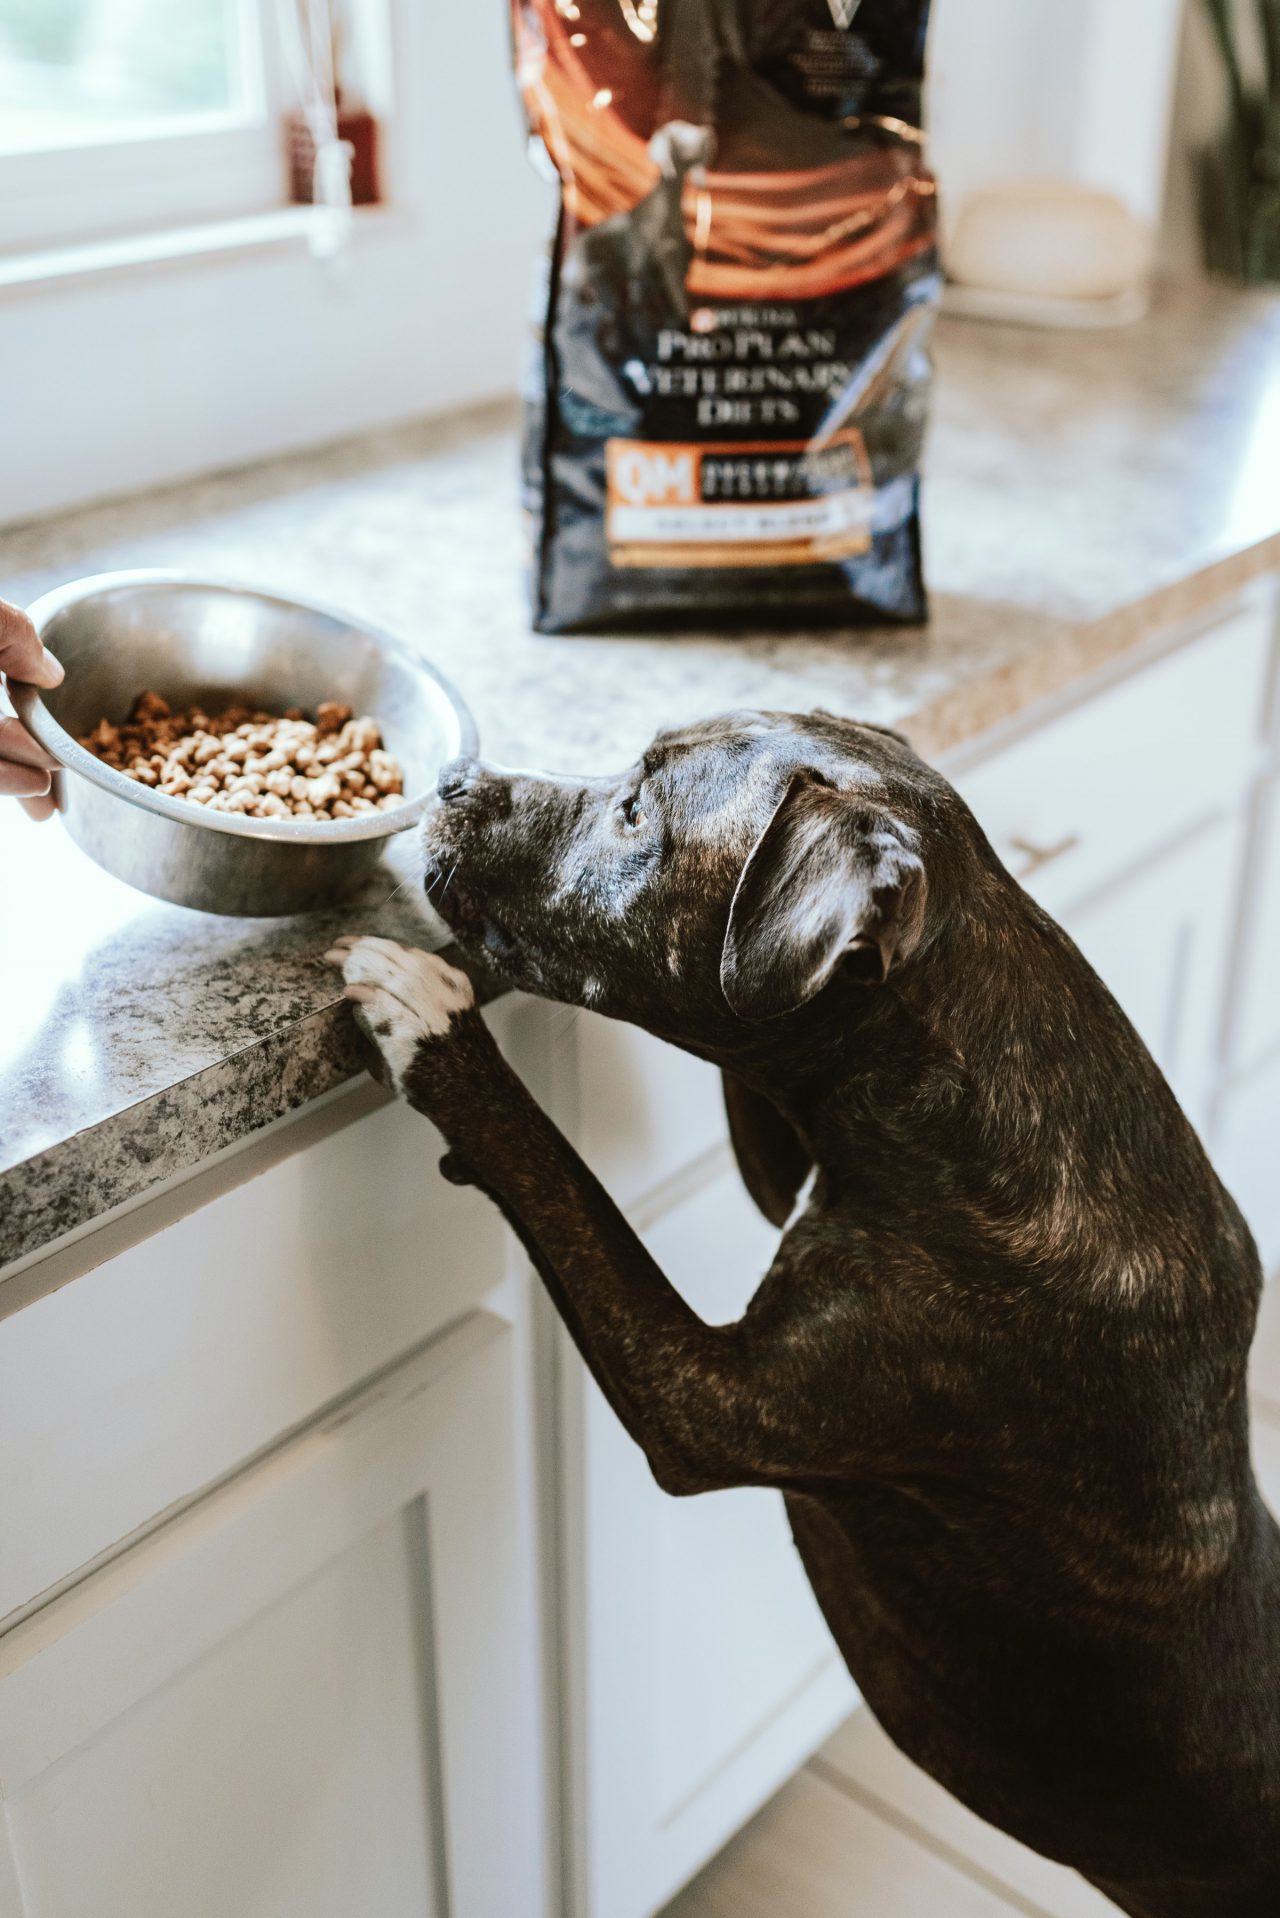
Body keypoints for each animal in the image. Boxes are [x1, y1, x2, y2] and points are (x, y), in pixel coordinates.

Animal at [328, 713, 1280, 1910]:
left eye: (635, 814)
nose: (452, 781)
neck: (963, 1092)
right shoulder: (785, 1159)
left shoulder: (707, 1402)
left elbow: (559, 1180)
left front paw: (436, 1030)